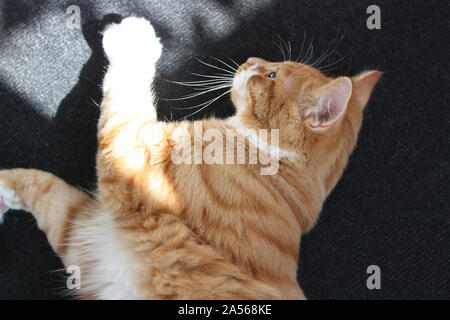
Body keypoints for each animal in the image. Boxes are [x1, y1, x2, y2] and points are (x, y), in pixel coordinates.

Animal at [0, 16, 382, 298]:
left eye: (271, 74)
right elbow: (44, 189)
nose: (250, 60)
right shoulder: (87, 241)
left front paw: (135, 38)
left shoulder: (134, 151)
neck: (275, 160)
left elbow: (125, 92)